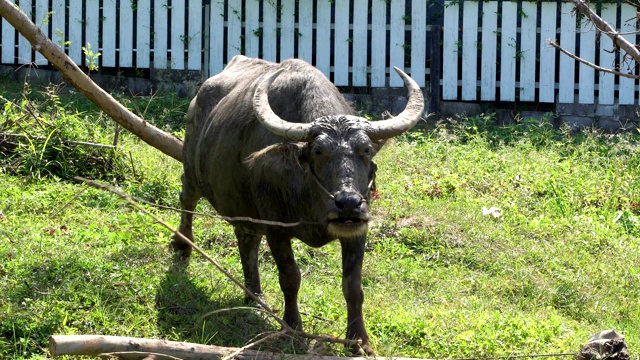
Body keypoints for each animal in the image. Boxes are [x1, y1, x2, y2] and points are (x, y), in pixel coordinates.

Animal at [171, 56, 424, 354]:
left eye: (365, 150)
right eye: (318, 151)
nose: (348, 204)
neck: (310, 197)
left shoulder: (357, 230)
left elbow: (353, 286)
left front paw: (359, 341)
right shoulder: (276, 228)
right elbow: (290, 277)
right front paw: (293, 329)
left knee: (246, 240)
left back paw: (254, 296)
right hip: (192, 170)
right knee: (187, 200)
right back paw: (182, 246)